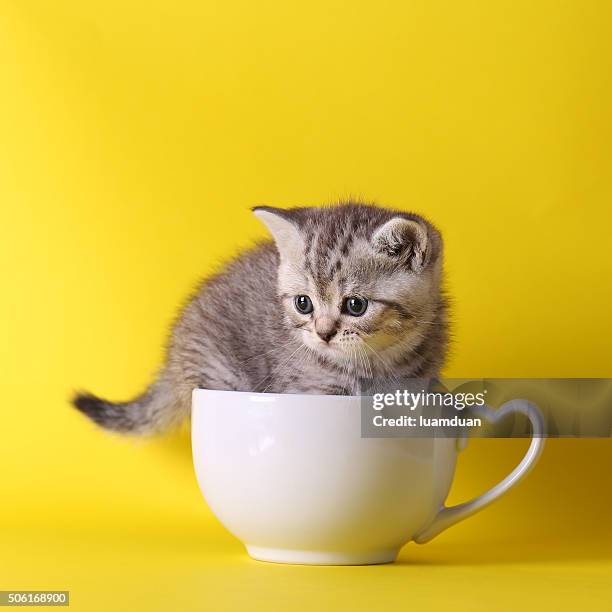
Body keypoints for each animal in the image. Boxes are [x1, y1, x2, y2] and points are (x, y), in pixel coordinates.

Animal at [73, 203, 450, 432]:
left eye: (355, 306)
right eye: (303, 304)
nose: (323, 333)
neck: (376, 364)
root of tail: (172, 357)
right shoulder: (306, 389)